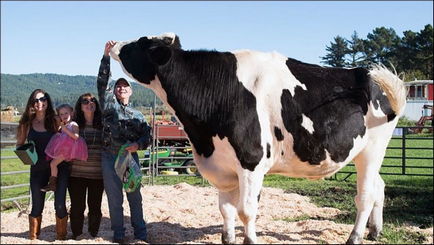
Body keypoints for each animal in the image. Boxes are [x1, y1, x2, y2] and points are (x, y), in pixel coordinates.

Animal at [108, 33, 406, 245]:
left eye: (140, 42)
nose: (112, 44)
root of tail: (366, 74)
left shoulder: (251, 161)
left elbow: (246, 209)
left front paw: (249, 240)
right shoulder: (223, 164)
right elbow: (226, 209)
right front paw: (228, 239)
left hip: (372, 150)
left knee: (366, 196)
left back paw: (355, 237)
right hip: (365, 154)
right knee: (379, 187)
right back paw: (375, 232)